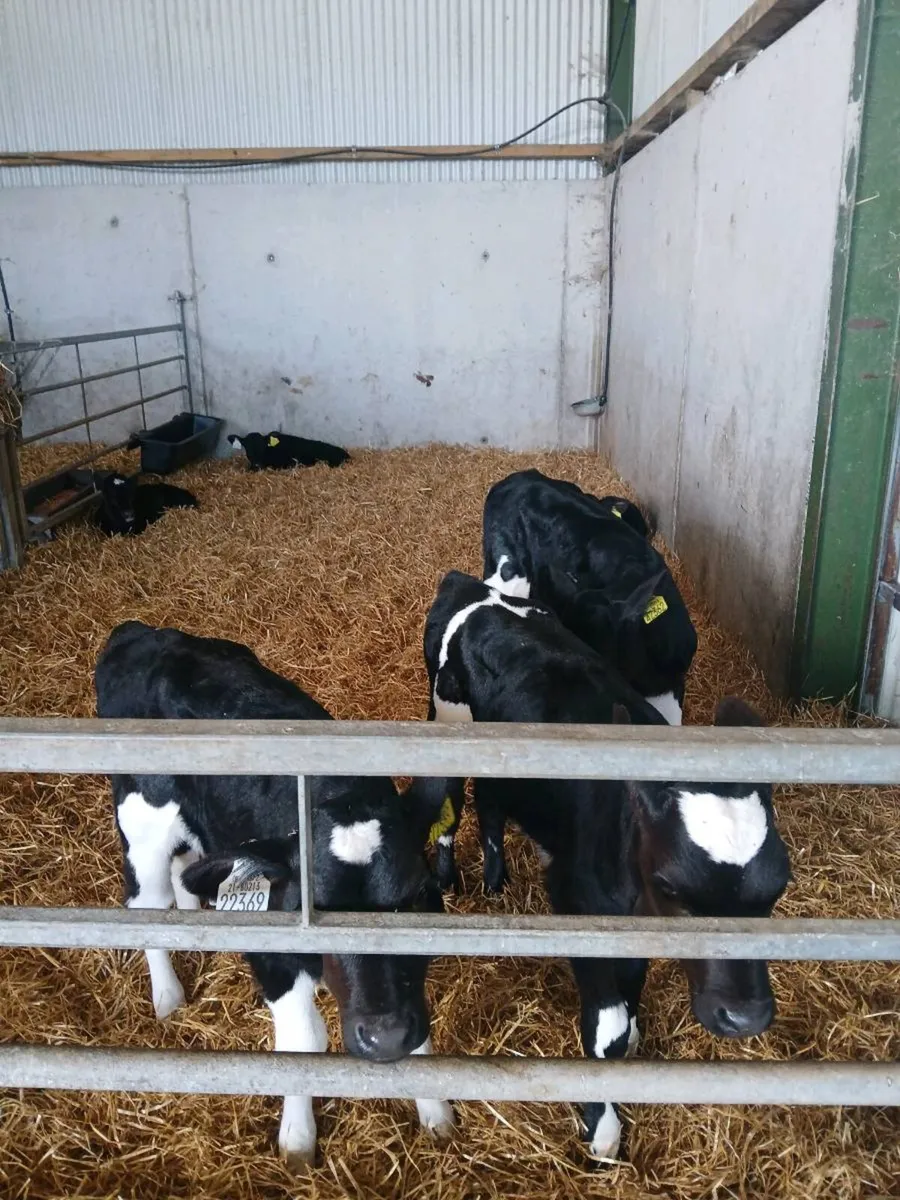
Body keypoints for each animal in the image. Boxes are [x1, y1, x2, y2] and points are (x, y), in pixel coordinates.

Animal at [94, 621, 454, 1168]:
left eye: (415, 896)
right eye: (312, 906)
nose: (384, 1035)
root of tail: (139, 634)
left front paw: (437, 1115)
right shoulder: (274, 953)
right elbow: (303, 1042)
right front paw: (299, 1141)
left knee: (187, 868)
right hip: (142, 828)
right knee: (146, 906)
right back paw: (168, 996)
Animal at [423, 571, 790, 1161]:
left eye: (778, 887)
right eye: (672, 885)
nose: (745, 1018)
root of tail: (471, 586)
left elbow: (632, 991)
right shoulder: (577, 902)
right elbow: (609, 1025)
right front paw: (602, 1126)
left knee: (493, 802)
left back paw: (496, 878)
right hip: (444, 720)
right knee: (452, 803)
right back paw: (449, 876)